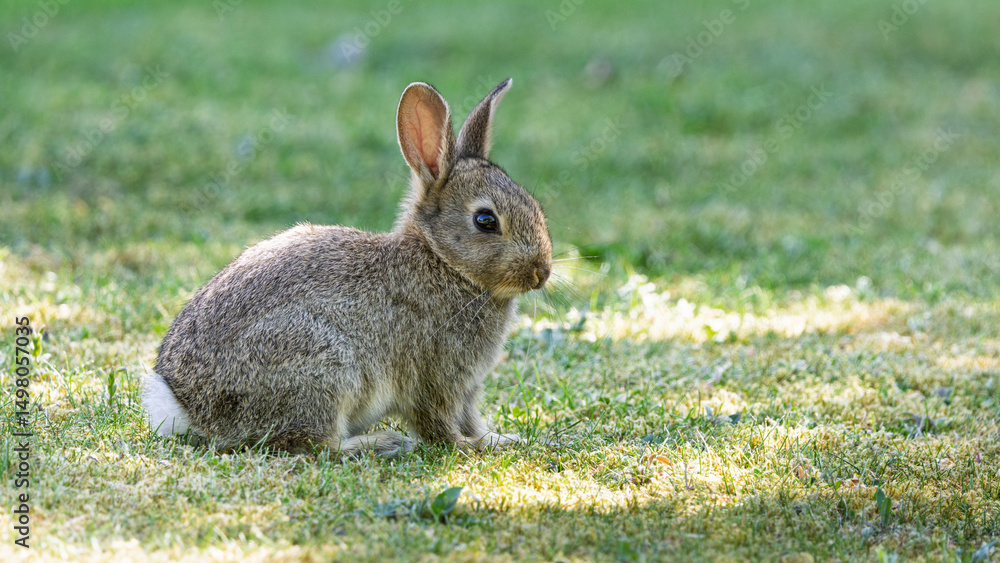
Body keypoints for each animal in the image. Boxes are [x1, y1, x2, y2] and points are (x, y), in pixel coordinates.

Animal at [143, 78, 552, 457]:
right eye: (486, 221)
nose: (542, 272)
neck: (444, 262)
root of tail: (188, 407)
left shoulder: (467, 387)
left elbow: (471, 418)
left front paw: (497, 439)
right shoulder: (434, 375)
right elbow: (438, 424)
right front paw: (467, 446)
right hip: (322, 366)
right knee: (315, 444)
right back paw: (383, 443)